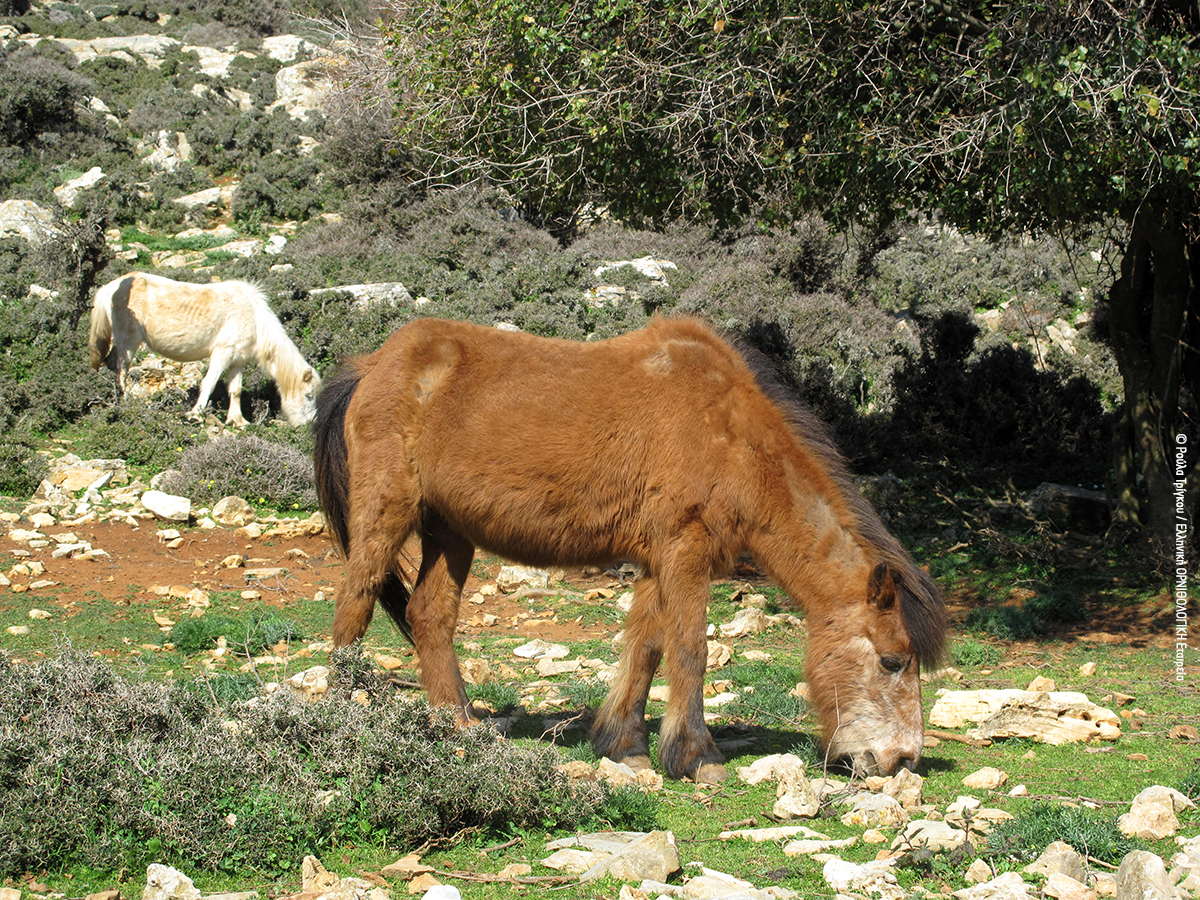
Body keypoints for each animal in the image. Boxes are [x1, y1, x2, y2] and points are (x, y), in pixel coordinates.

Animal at [88, 273, 321, 427]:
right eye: (308, 396)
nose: (308, 425)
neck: (254, 318)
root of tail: (111, 286)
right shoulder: (222, 353)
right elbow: (209, 383)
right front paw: (196, 415)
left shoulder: (238, 360)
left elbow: (235, 390)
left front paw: (238, 421)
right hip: (128, 342)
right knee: (121, 369)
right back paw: (126, 403)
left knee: (111, 363)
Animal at [316, 316, 945, 782]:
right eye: (892, 661)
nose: (901, 760)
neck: (730, 435)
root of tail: (374, 364)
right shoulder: (686, 552)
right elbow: (689, 649)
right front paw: (697, 756)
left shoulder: (657, 559)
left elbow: (646, 646)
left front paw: (625, 744)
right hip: (387, 514)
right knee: (354, 608)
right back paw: (342, 724)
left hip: (451, 534)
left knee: (429, 616)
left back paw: (459, 727)